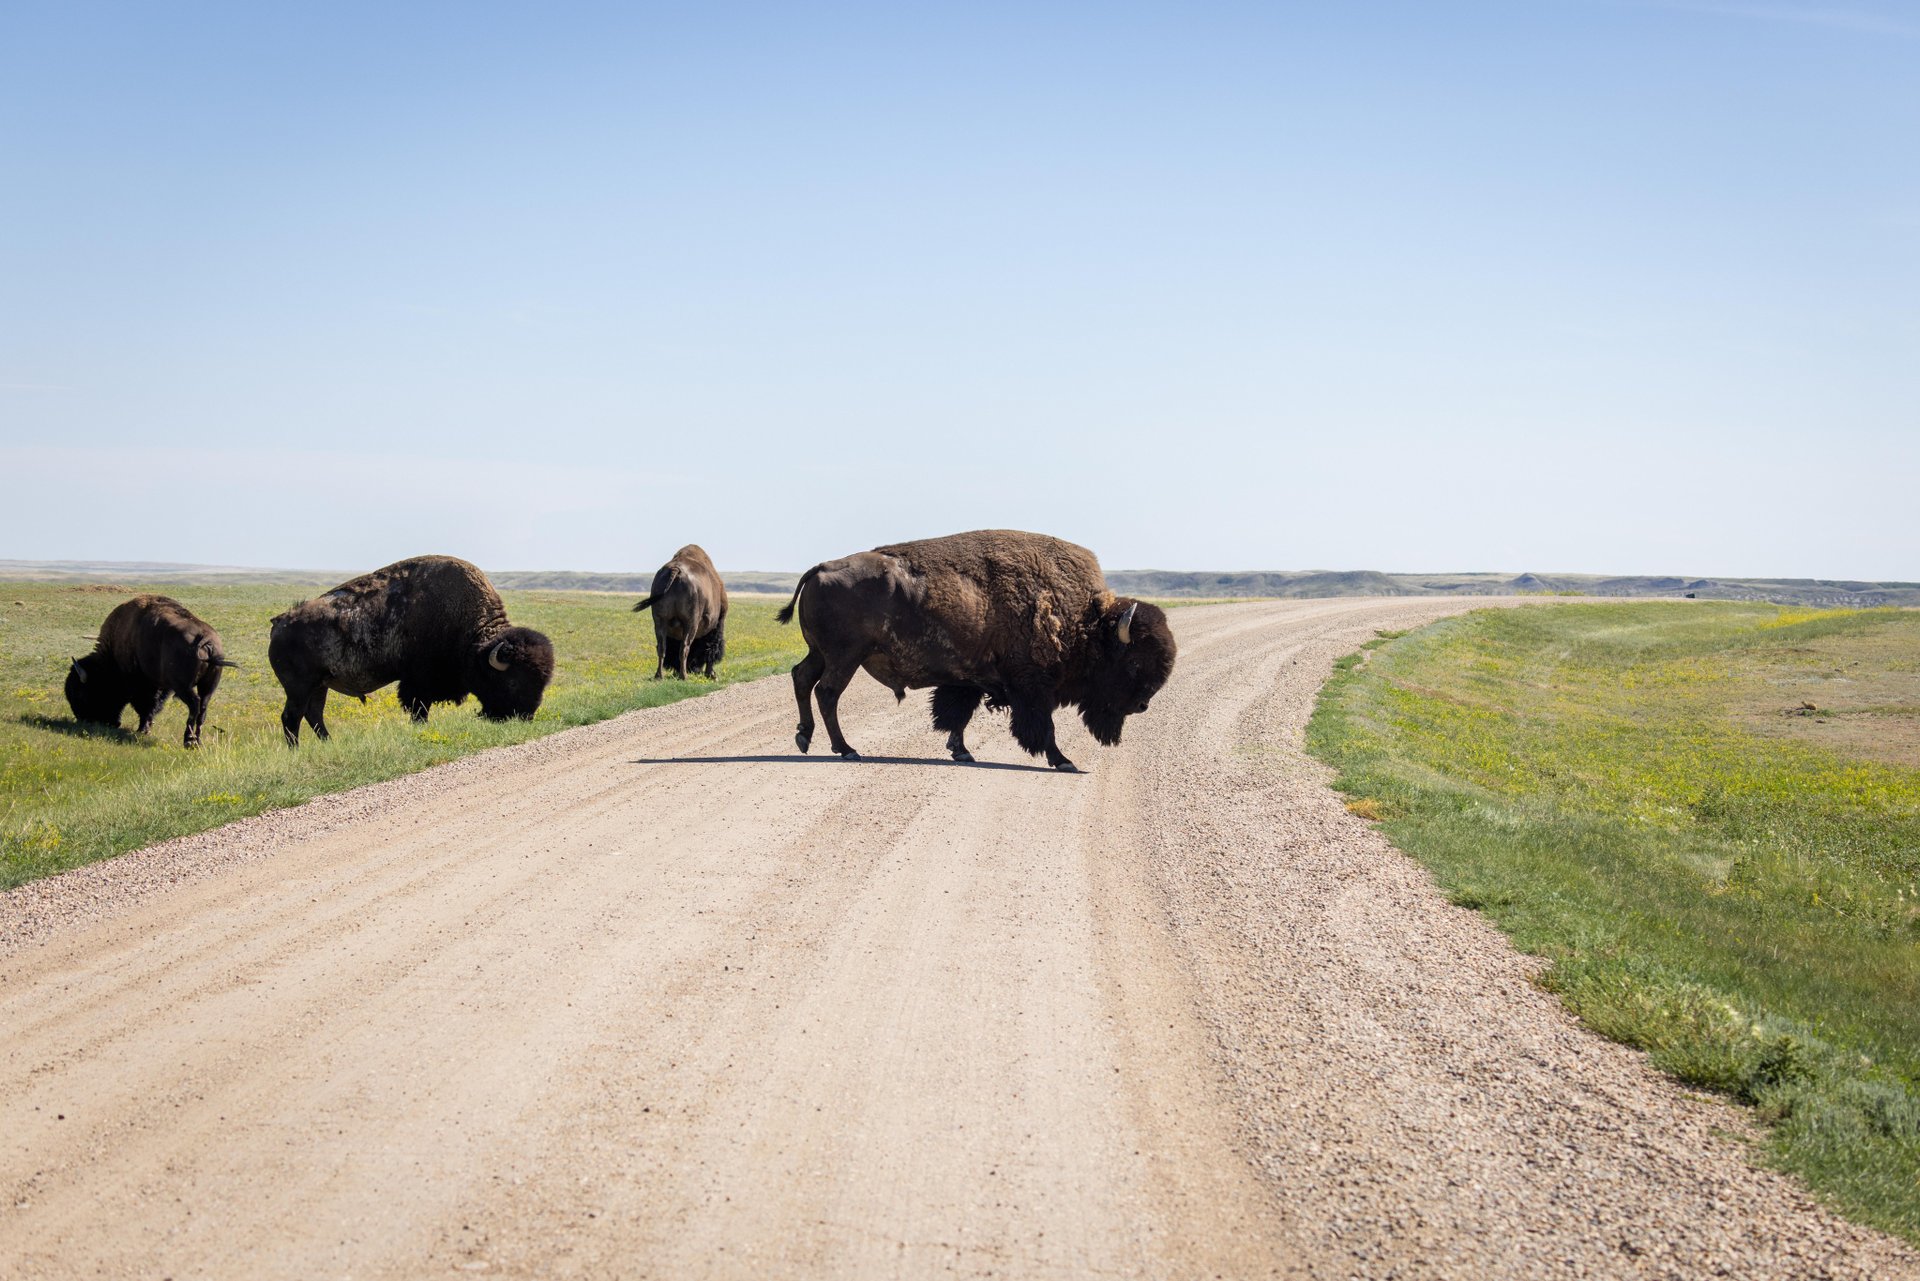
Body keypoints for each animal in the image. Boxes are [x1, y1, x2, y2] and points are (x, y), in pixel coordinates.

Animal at [66, 595, 236, 748]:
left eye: (81, 693)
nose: (82, 719)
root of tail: (205, 639)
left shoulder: (143, 685)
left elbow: (146, 706)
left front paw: (143, 729)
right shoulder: (161, 686)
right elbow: (153, 705)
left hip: (184, 687)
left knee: (195, 704)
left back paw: (188, 740)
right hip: (207, 687)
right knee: (202, 708)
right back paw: (197, 742)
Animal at [269, 555, 555, 745]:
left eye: (543, 682)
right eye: (513, 682)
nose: (526, 716)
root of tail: (279, 623)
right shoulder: (417, 683)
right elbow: (418, 709)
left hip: (320, 685)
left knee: (314, 714)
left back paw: (328, 743)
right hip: (299, 688)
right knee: (292, 717)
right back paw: (296, 750)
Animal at [633, 544, 728, 680]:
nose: (695, 669)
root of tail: (676, 570)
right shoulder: (717, 623)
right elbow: (711, 647)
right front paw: (712, 675)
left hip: (660, 621)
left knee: (661, 647)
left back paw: (659, 676)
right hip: (690, 623)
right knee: (684, 647)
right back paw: (684, 676)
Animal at [776, 529, 1176, 771]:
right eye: (1134, 661)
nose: (1142, 705)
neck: (1085, 621)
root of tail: (821, 568)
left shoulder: (967, 681)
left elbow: (957, 715)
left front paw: (962, 752)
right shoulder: (1032, 688)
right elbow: (1042, 726)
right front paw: (1064, 760)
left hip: (822, 654)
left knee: (802, 678)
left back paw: (804, 737)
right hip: (845, 657)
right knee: (827, 692)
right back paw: (846, 749)